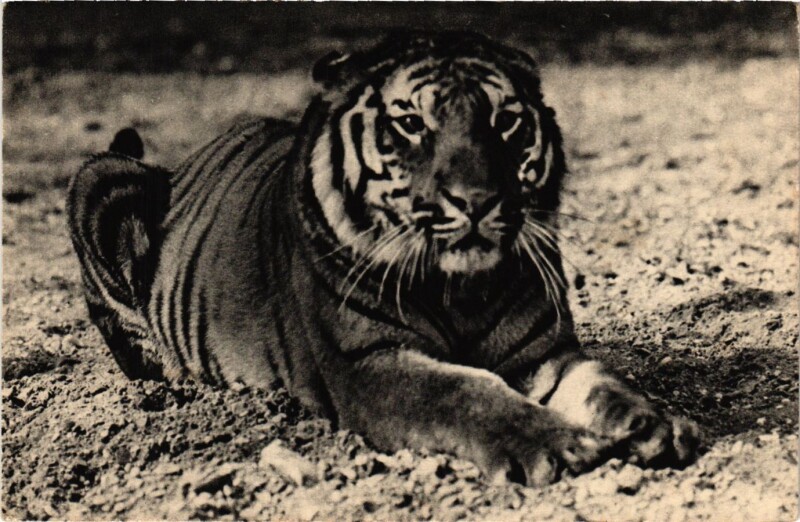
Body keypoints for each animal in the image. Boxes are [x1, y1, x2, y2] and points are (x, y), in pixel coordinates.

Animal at [67, 32, 699, 486]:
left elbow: (604, 384)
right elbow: (465, 393)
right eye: (412, 123)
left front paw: (656, 425)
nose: (477, 200)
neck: (462, 289)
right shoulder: (369, 364)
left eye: (505, 121)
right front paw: (558, 446)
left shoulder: (543, 353)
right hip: (101, 180)